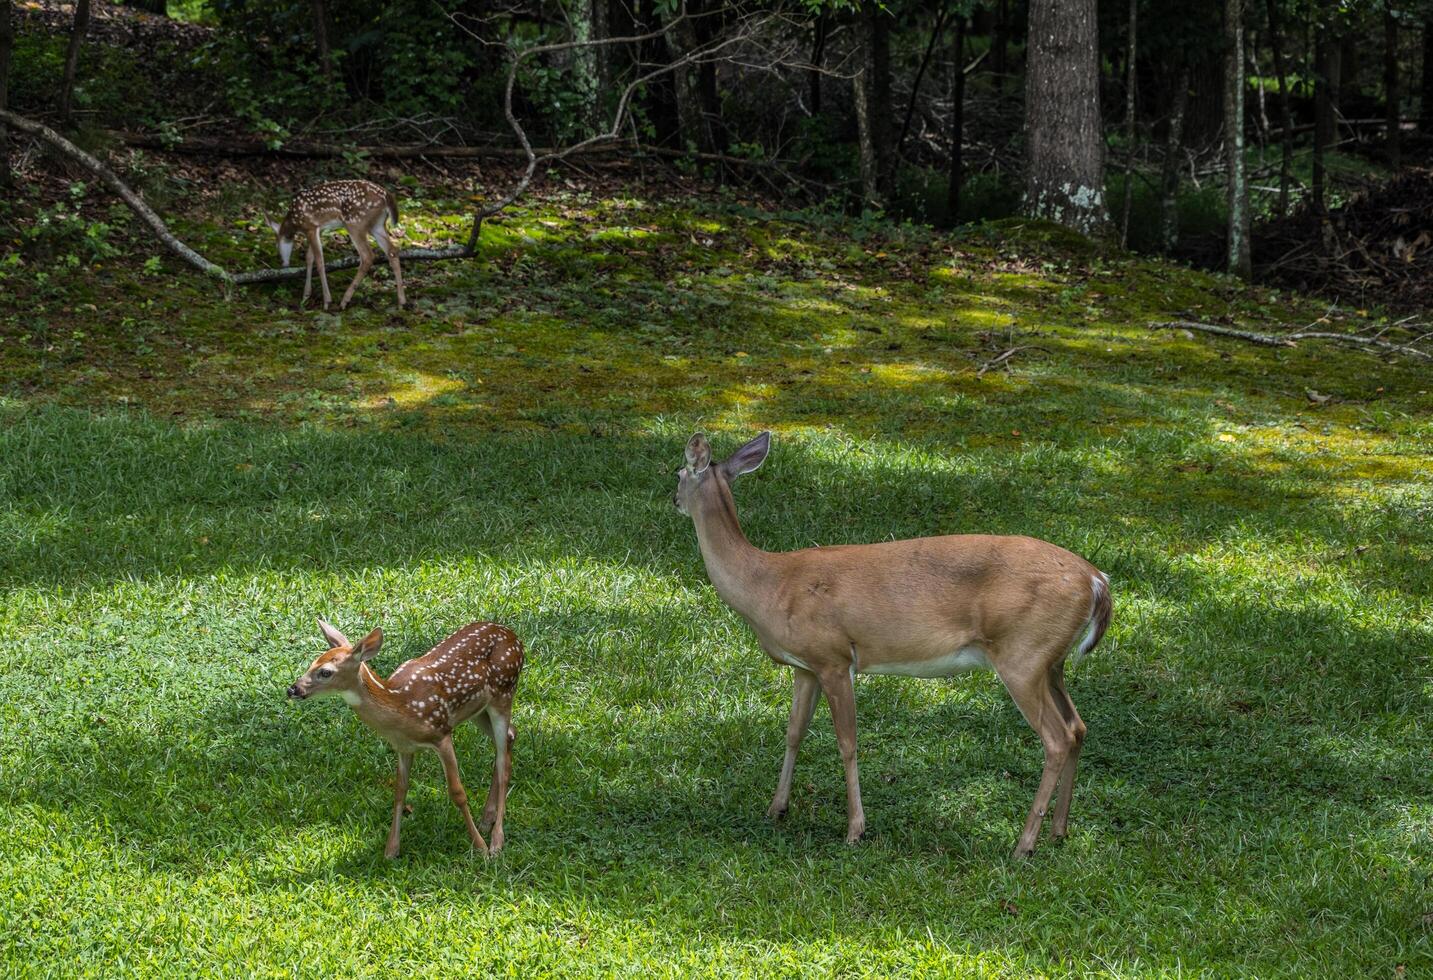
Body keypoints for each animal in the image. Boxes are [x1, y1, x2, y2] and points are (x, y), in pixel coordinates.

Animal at [265, 179, 406, 309]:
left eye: (277, 247)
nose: (283, 264)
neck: (294, 221)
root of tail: (386, 196)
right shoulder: (319, 229)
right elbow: (309, 258)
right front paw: (306, 296)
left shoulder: (310, 226)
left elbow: (319, 261)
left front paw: (326, 301)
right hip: (377, 225)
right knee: (393, 251)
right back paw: (401, 302)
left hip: (355, 223)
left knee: (367, 256)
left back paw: (344, 301)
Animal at [285, 618, 521, 859]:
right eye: (312, 663)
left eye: (325, 672)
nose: (292, 689)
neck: (402, 705)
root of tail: (513, 636)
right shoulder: (403, 746)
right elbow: (400, 791)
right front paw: (391, 850)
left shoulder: (442, 734)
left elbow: (458, 793)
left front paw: (480, 847)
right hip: (477, 710)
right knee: (510, 736)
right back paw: (486, 819)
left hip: (504, 691)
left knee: (503, 761)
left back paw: (496, 841)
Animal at [676, 429, 1112, 859]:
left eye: (678, 473)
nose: (674, 499)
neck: (768, 585)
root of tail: (1096, 580)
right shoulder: (805, 666)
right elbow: (794, 732)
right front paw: (776, 808)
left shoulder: (834, 658)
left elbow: (847, 742)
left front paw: (855, 829)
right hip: (1050, 662)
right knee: (1078, 727)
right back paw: (1058, 831)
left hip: (1023, 655)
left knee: (1057, 738)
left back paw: (1023, 845)